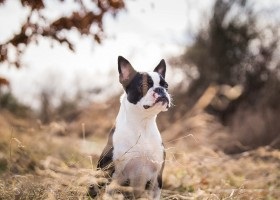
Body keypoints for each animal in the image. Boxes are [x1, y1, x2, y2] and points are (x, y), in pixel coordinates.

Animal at [89, 55, 172, 198]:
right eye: (144, 85)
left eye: (166, 86)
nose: (160, 90)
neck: (143, 124)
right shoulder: (113, 174)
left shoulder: (156, 178)